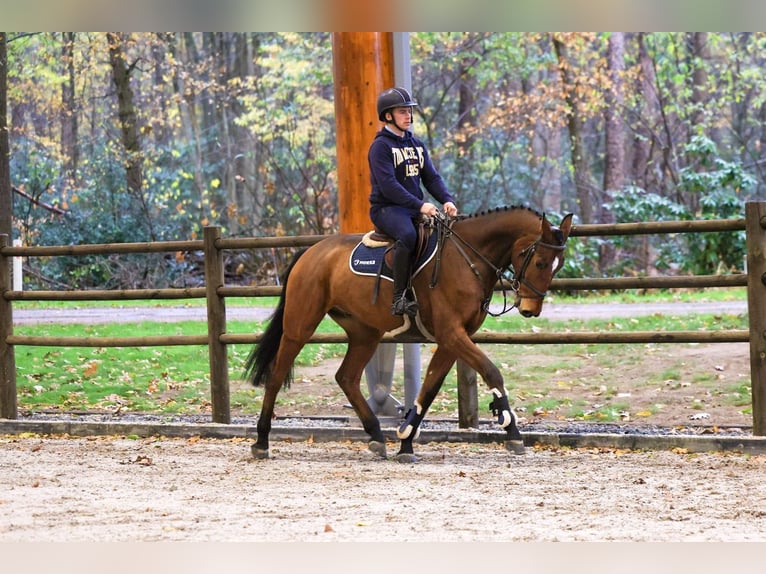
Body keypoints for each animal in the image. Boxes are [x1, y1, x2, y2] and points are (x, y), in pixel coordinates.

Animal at [246, 207, 576, 464]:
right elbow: (491, 372)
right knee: (277, 375)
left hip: (365, 333)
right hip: (300, 325)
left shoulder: (453, 338)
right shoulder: (452, 333)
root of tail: (312, 251)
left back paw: (377, 435)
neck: (467, 257)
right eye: (540, 262)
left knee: (347, 377)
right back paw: (261, 441)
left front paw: (405, 442)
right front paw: (511, 429)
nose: (531, 309)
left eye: (557, 266)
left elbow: (428, 389)